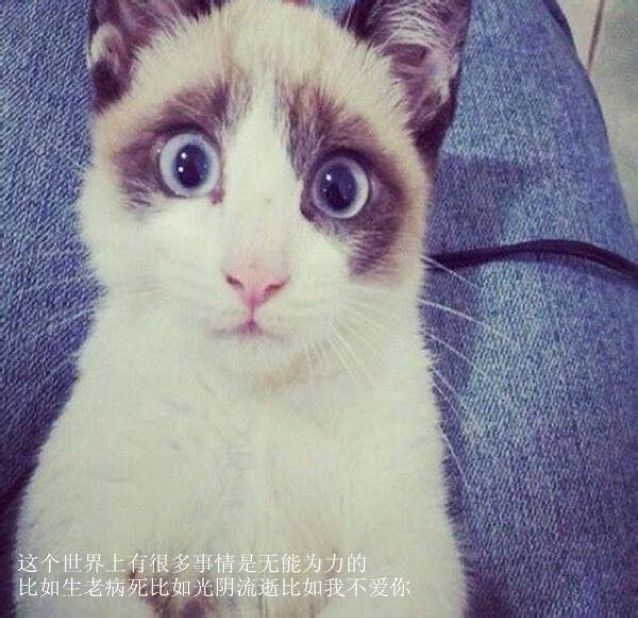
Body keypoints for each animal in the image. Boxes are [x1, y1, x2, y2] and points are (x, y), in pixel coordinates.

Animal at [14, 0, 470, 616]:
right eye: (187, 164)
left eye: (339, 188)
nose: (255, 276)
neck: (252, 408)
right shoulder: (70, 534)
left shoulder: (407, 550)